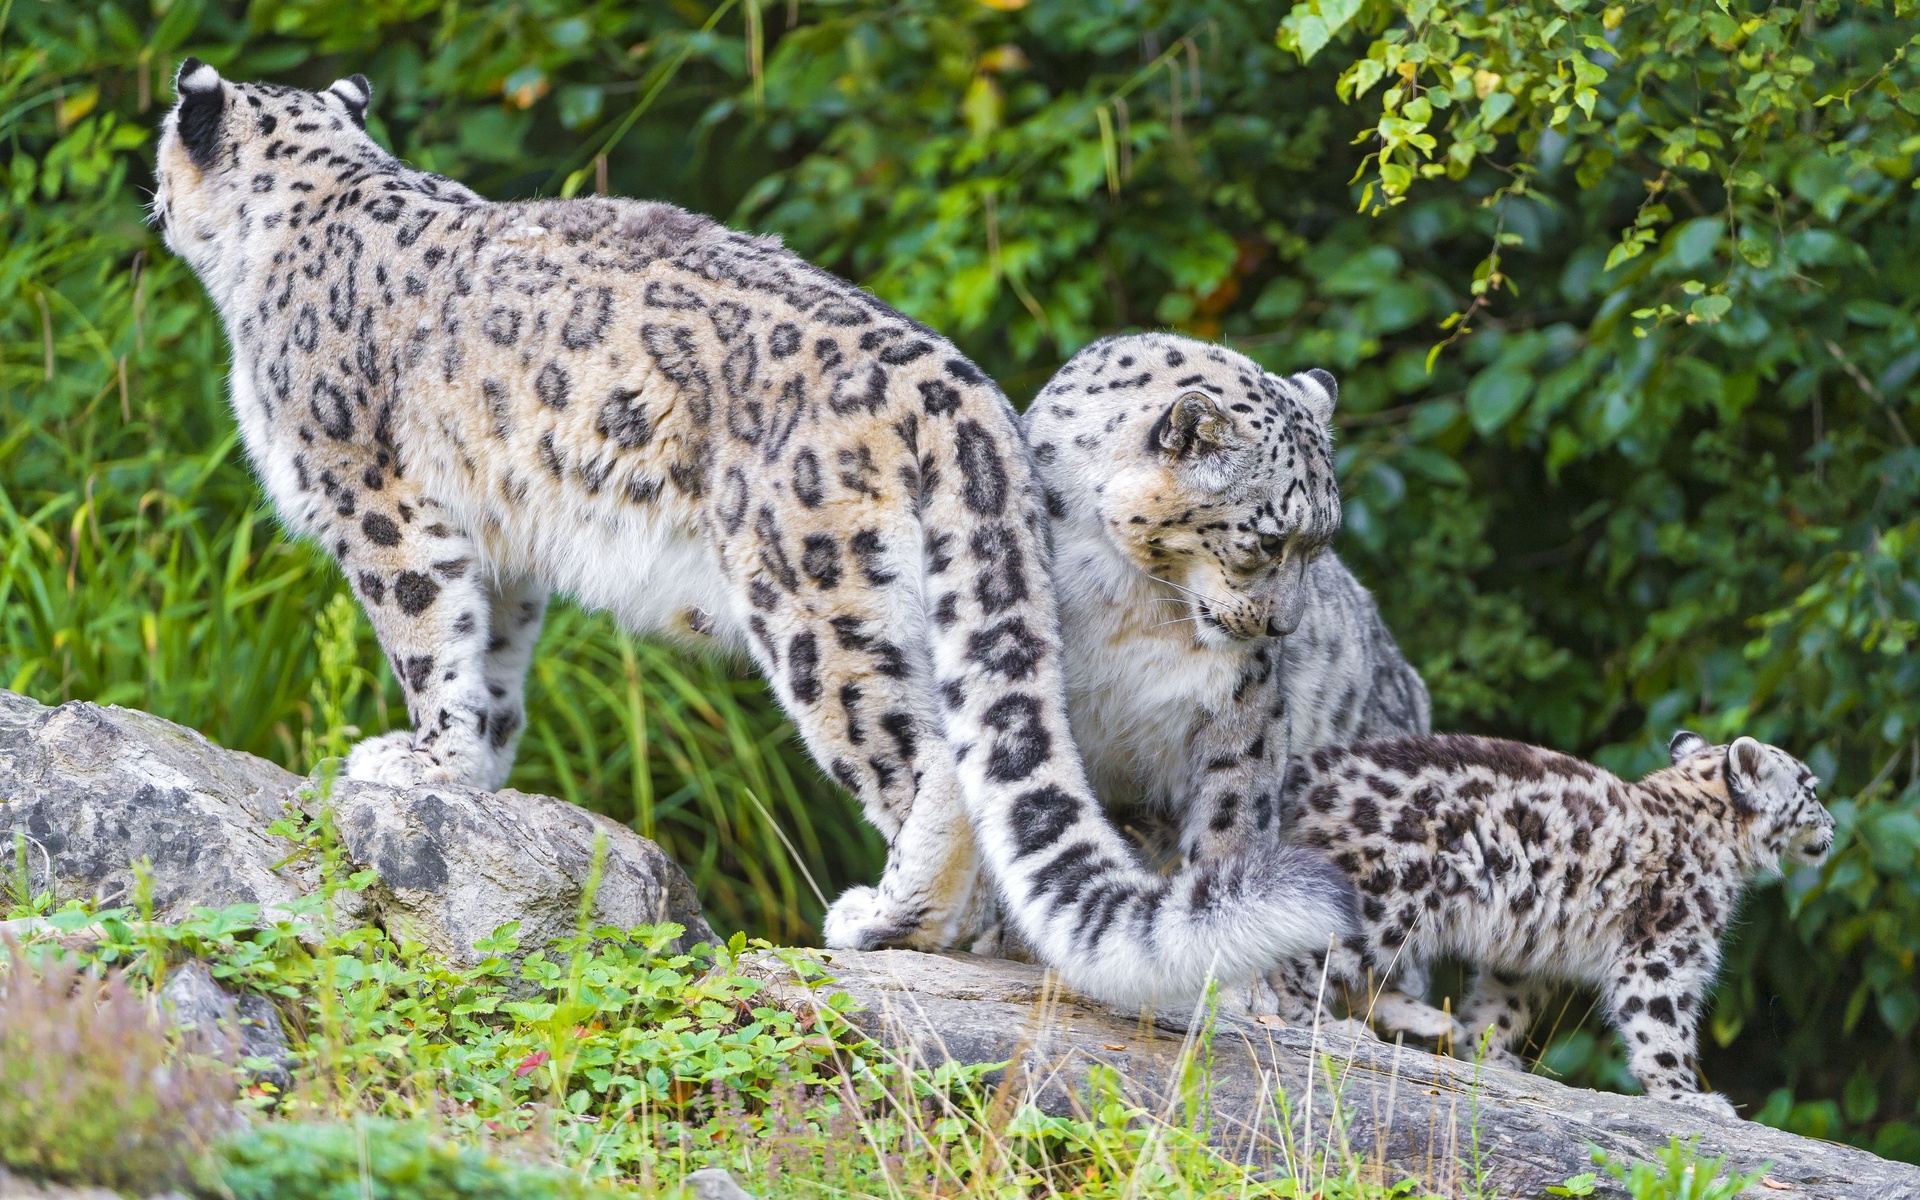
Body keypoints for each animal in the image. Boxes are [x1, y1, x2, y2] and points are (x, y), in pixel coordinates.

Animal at [149, 60, 1351, 1006]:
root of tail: (959, 389)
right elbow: (492, 660)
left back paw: (887, 921)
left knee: (928, 760)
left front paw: (417, 762)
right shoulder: (505, 545)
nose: (149, 200)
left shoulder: (377, 502)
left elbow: (424, 635)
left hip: (814, 601)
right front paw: (476, 769)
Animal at [1029, 328, 1436, 871]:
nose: (1284, 627)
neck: (1129, 604)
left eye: (1320, 544)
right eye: (1268, 540)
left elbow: (1231, 816)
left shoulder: (1242, 703)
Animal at [1259, 729, 1827, 1113]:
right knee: (1299, 959)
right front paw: (1688, 1097)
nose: (1833, 824)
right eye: (1812, 788)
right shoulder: (1664, 950)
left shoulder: (1526, 954)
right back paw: (1318, 1022)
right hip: (1381, 901)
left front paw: (1484, 1052)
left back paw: (1426, 1022)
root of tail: (1306, 774)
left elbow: (1501, 1005)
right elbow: (1661, 1024)